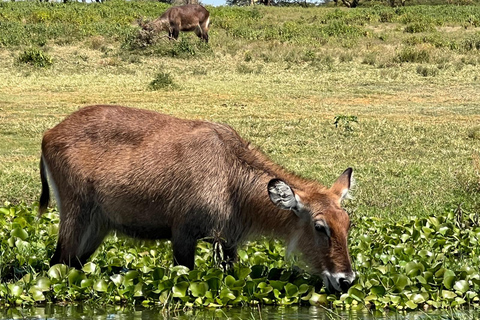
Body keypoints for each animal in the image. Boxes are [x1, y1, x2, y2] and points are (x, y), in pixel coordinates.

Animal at [39, 104, 356, 292]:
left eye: (347, 223)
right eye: (320, 227)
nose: (346, 280)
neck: (230, 176)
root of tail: (49, 132)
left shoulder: (229, 242)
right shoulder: (183, 235)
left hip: (97, 227)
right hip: (75, 217)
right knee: (57, 263)